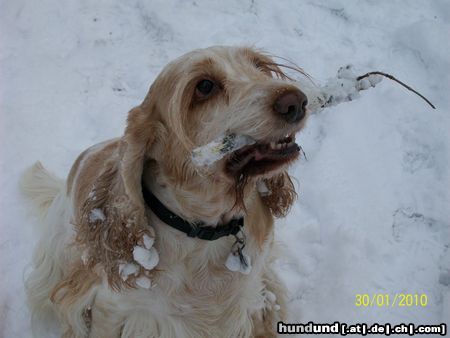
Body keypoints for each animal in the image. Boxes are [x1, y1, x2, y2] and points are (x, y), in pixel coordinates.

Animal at [22, 45, 310, 338]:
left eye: (259, 66)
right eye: (205, 86)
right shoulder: (113, 309)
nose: (296, 101)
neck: (204, 229)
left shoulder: (250, 298)